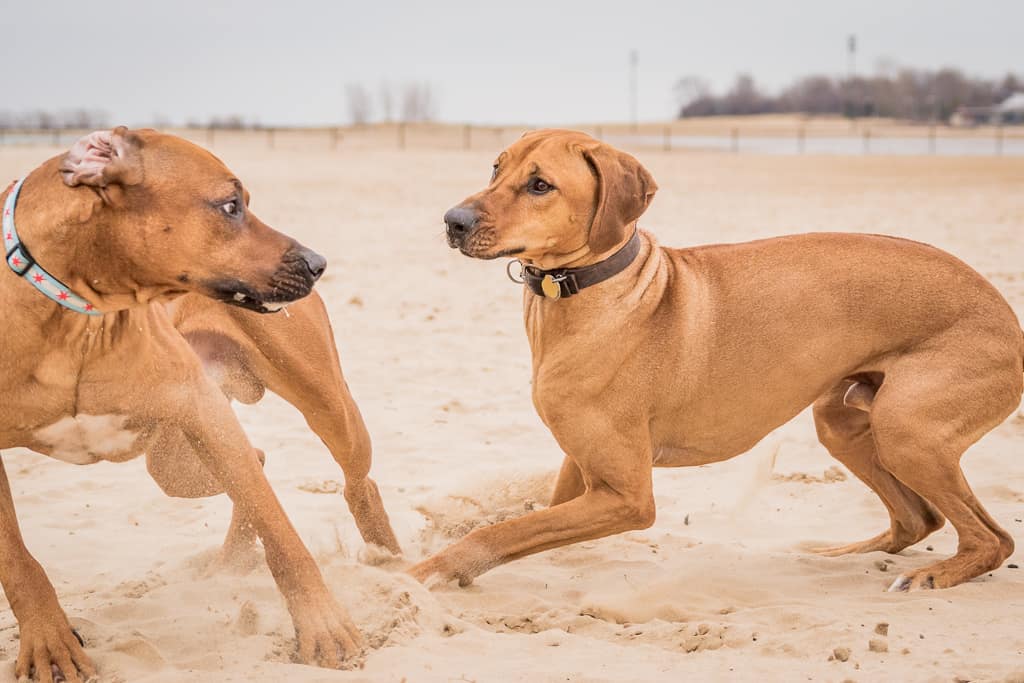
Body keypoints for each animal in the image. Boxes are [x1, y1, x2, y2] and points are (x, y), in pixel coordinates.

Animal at [0, 127, 380, 679]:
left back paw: (392, 561)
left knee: (356, 483)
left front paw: (323, 628)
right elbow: (17, 561)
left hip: (327, 410)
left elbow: (283, 535)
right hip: (173, 460)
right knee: (255, 463)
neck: (75, 314)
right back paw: (229, 565)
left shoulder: (201, 408)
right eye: (230, 206)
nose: (318, 263)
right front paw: (49, 644)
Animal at [411, 126, 1019, 593]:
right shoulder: (583, 466)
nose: (452, 220)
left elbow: (500, 533)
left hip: (906, 427)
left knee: (994, 538)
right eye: (495, 167)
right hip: (843, 421)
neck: (591, 289)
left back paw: (934, 575)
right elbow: (530, 520)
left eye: (541, 185)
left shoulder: (628, 497)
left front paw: (425, 574)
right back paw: (843, 554)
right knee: (918, 517)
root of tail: (1006, 315)